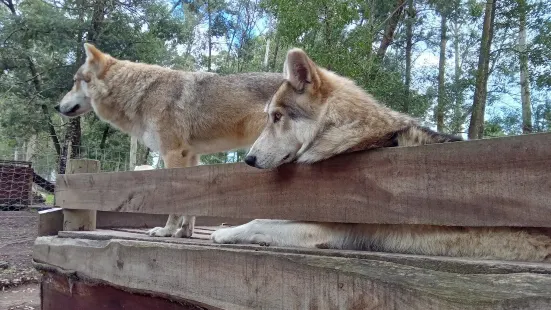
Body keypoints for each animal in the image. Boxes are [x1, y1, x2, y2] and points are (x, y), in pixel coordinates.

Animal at [55, 43, 284, 237]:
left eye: (74, 81)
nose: (56, 107)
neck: (141, 93)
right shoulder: (190, 156)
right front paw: (184, 232)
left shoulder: (172, 153)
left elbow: (174, 201)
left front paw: (166, 231)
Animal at [211, 47, 551, 262]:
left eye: (277, 117)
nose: (248, 160)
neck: (351, 135)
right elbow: (264, 216)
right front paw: (226, 228)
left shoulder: (326, 230)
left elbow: (259, 222)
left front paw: (223, 234)